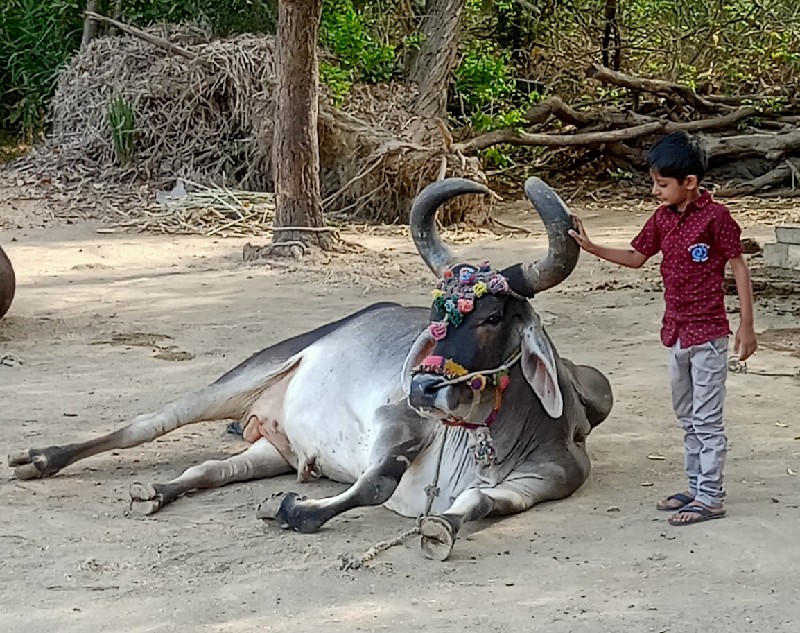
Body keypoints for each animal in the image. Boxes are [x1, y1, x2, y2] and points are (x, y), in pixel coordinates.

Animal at [6, 177, 612, 556]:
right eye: (437, 312)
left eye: (490, 315)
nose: (422, 387)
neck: (487, 437)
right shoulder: (394, 422)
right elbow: (376, 482)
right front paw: (294, 510)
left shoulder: (546, 481)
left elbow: (475, 505)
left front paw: (440, 527)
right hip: (247, 374)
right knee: (147, 425)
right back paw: (41, 459)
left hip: (276, 449)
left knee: (211, 470)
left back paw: (156, 490)